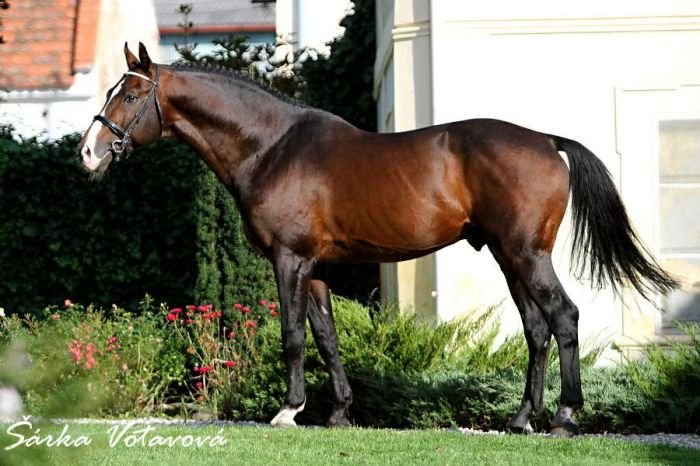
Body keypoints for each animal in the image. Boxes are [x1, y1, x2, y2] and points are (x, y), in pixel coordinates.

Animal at [78, 43, 678, 436]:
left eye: (130, 95)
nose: (87, 152)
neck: (271, 146)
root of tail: (546, 140)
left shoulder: (289, 261)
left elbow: (293, 337)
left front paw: (287, 411)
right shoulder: (316, 268)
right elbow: (327, 339)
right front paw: (339, 413)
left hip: (527, 255)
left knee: (564, 318)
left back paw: (563, 417)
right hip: (509, 258)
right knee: (536, 329)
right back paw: (520, 419)